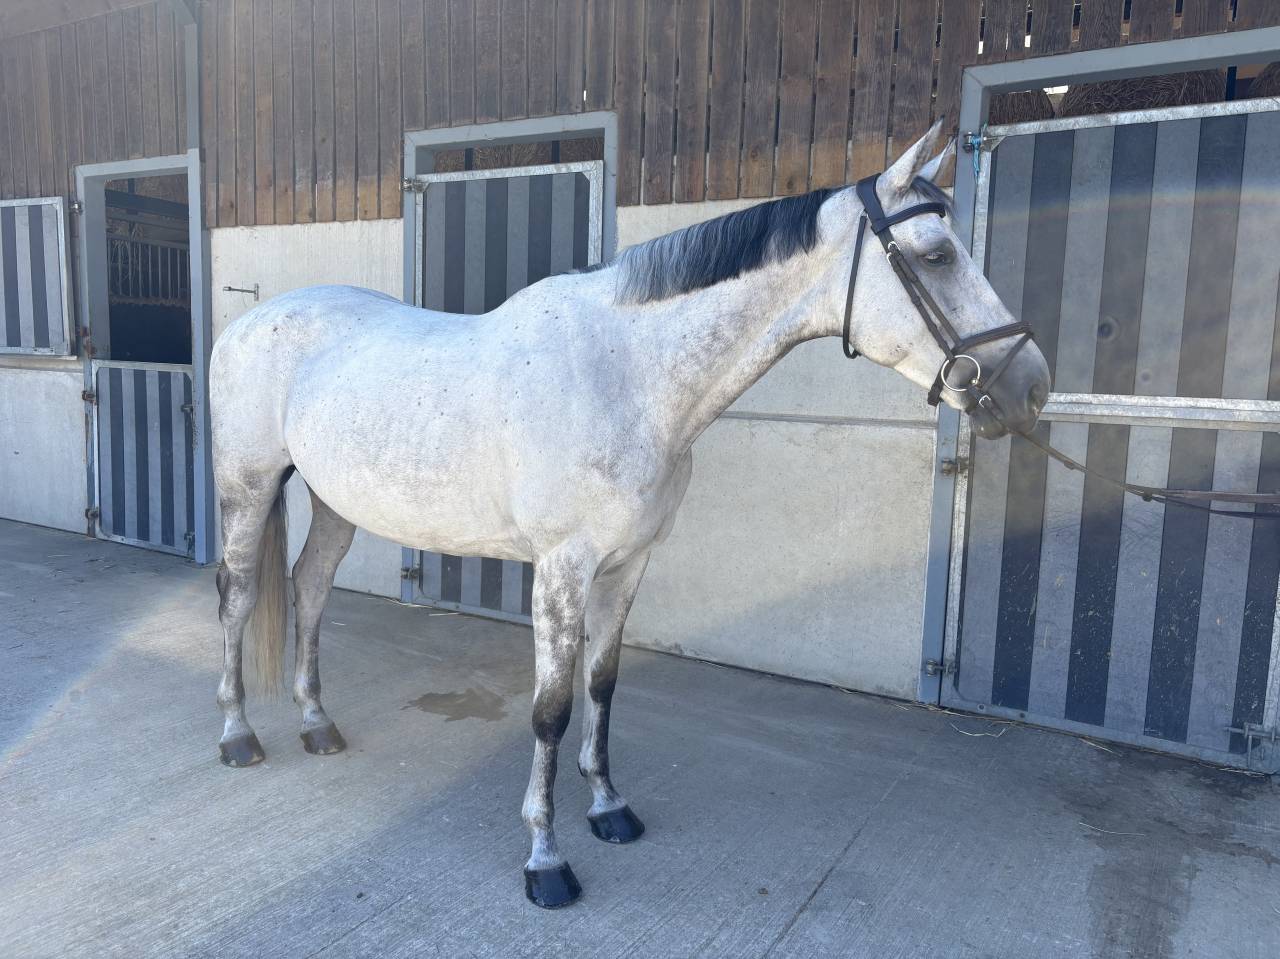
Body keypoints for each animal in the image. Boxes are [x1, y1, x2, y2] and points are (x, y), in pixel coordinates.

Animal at [208, 121, 1051, 908]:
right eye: (936, 254)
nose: (1032, 386)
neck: (627, 375)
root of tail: (252, 319)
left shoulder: (632, 559)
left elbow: (603, 685)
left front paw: (609, 807)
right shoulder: (561, 567)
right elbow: (550, 708)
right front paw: (545, 858)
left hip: (335, 500)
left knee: (311, 587)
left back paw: (317, 723)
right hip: (248, 488)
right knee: (241, 596)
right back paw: (239, 734)